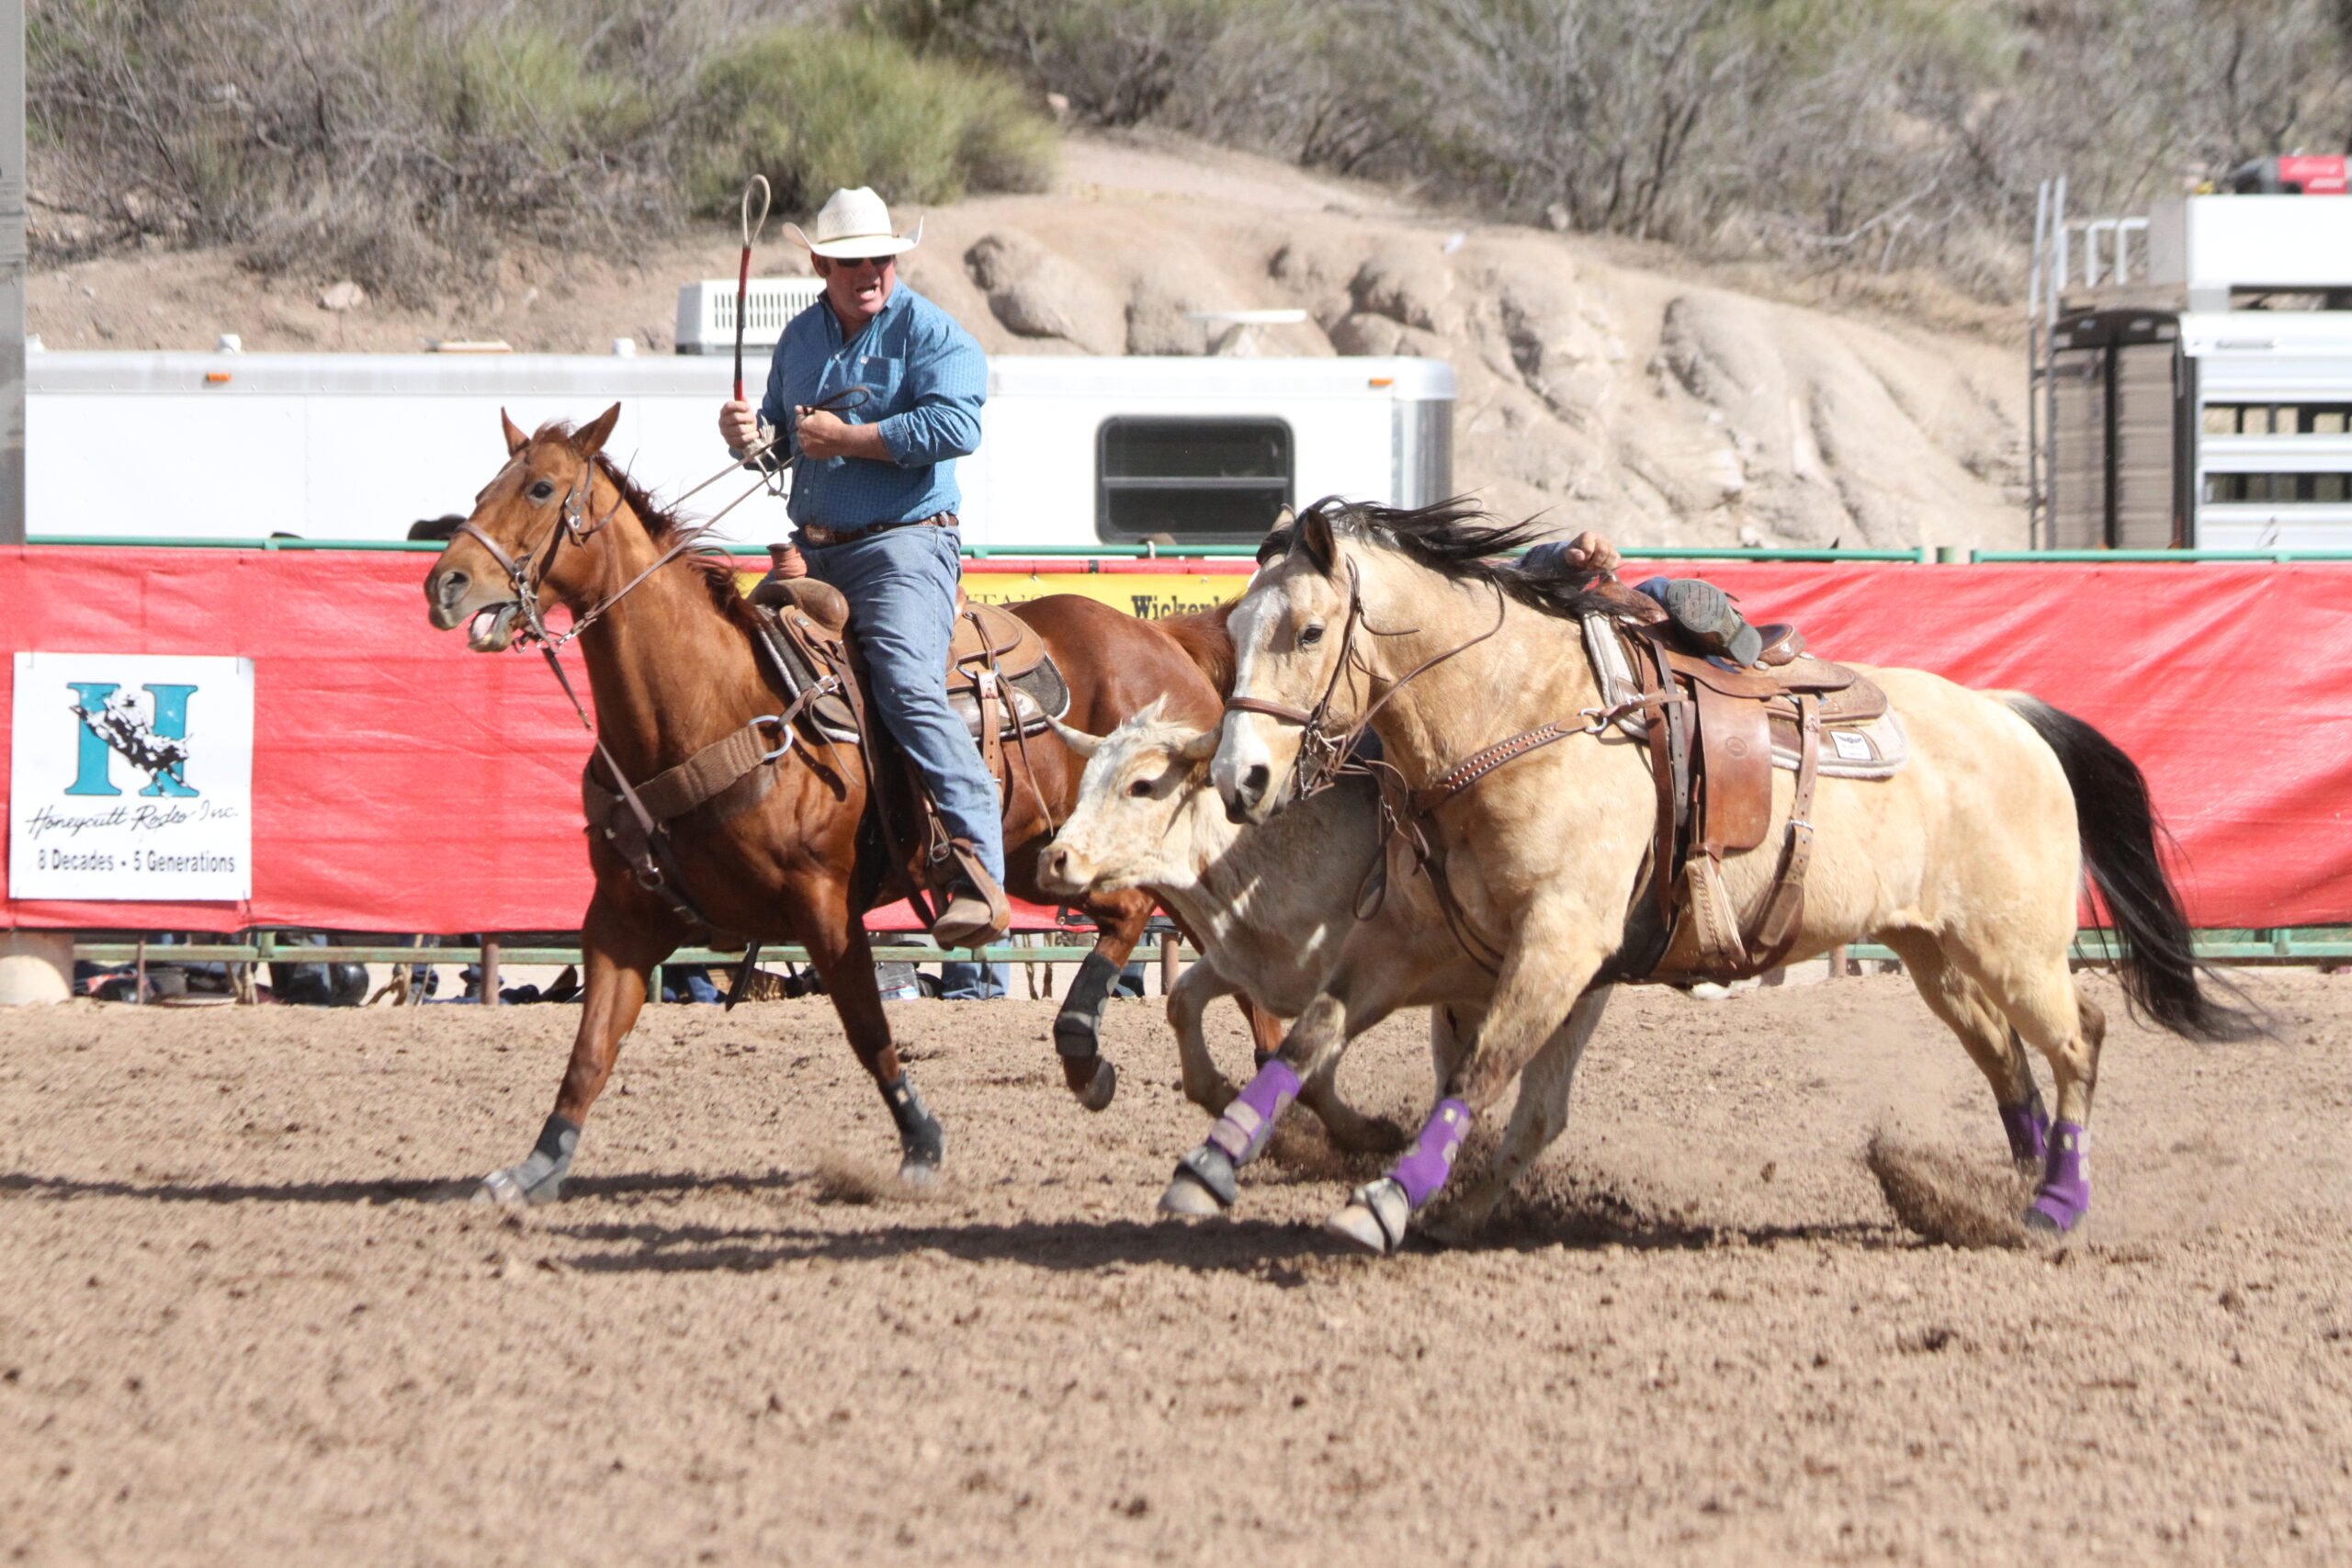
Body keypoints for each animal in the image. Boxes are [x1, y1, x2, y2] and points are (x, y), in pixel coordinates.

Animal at [427, 404, 1307, 1203]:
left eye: (542, 487)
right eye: (481, 488)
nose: (445, 582)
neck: (707, 702)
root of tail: (1169, 642)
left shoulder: (824, 907)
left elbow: (869, 1032)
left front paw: (920, 1144)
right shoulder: (620, 917)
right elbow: (590, 1048)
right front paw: (534, 1168)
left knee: (1165, 930)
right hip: (1037, 856)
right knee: (1171, 937)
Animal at [1176, 495, 2257, 1259]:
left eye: (1308, 632)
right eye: (1232, 632)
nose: (1241, 779)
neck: (1518, 714)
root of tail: (2007, 712)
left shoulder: (1559, 943)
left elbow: (1484, 1075)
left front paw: (1386, 1202)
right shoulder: (1415, 942)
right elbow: (1313, 1035)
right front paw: (1210, 1163)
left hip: (2016, 945)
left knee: (2079, 1037)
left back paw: (2055, 1204)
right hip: (1935, 953)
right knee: (2005, 1057)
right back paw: (2001, 1189)